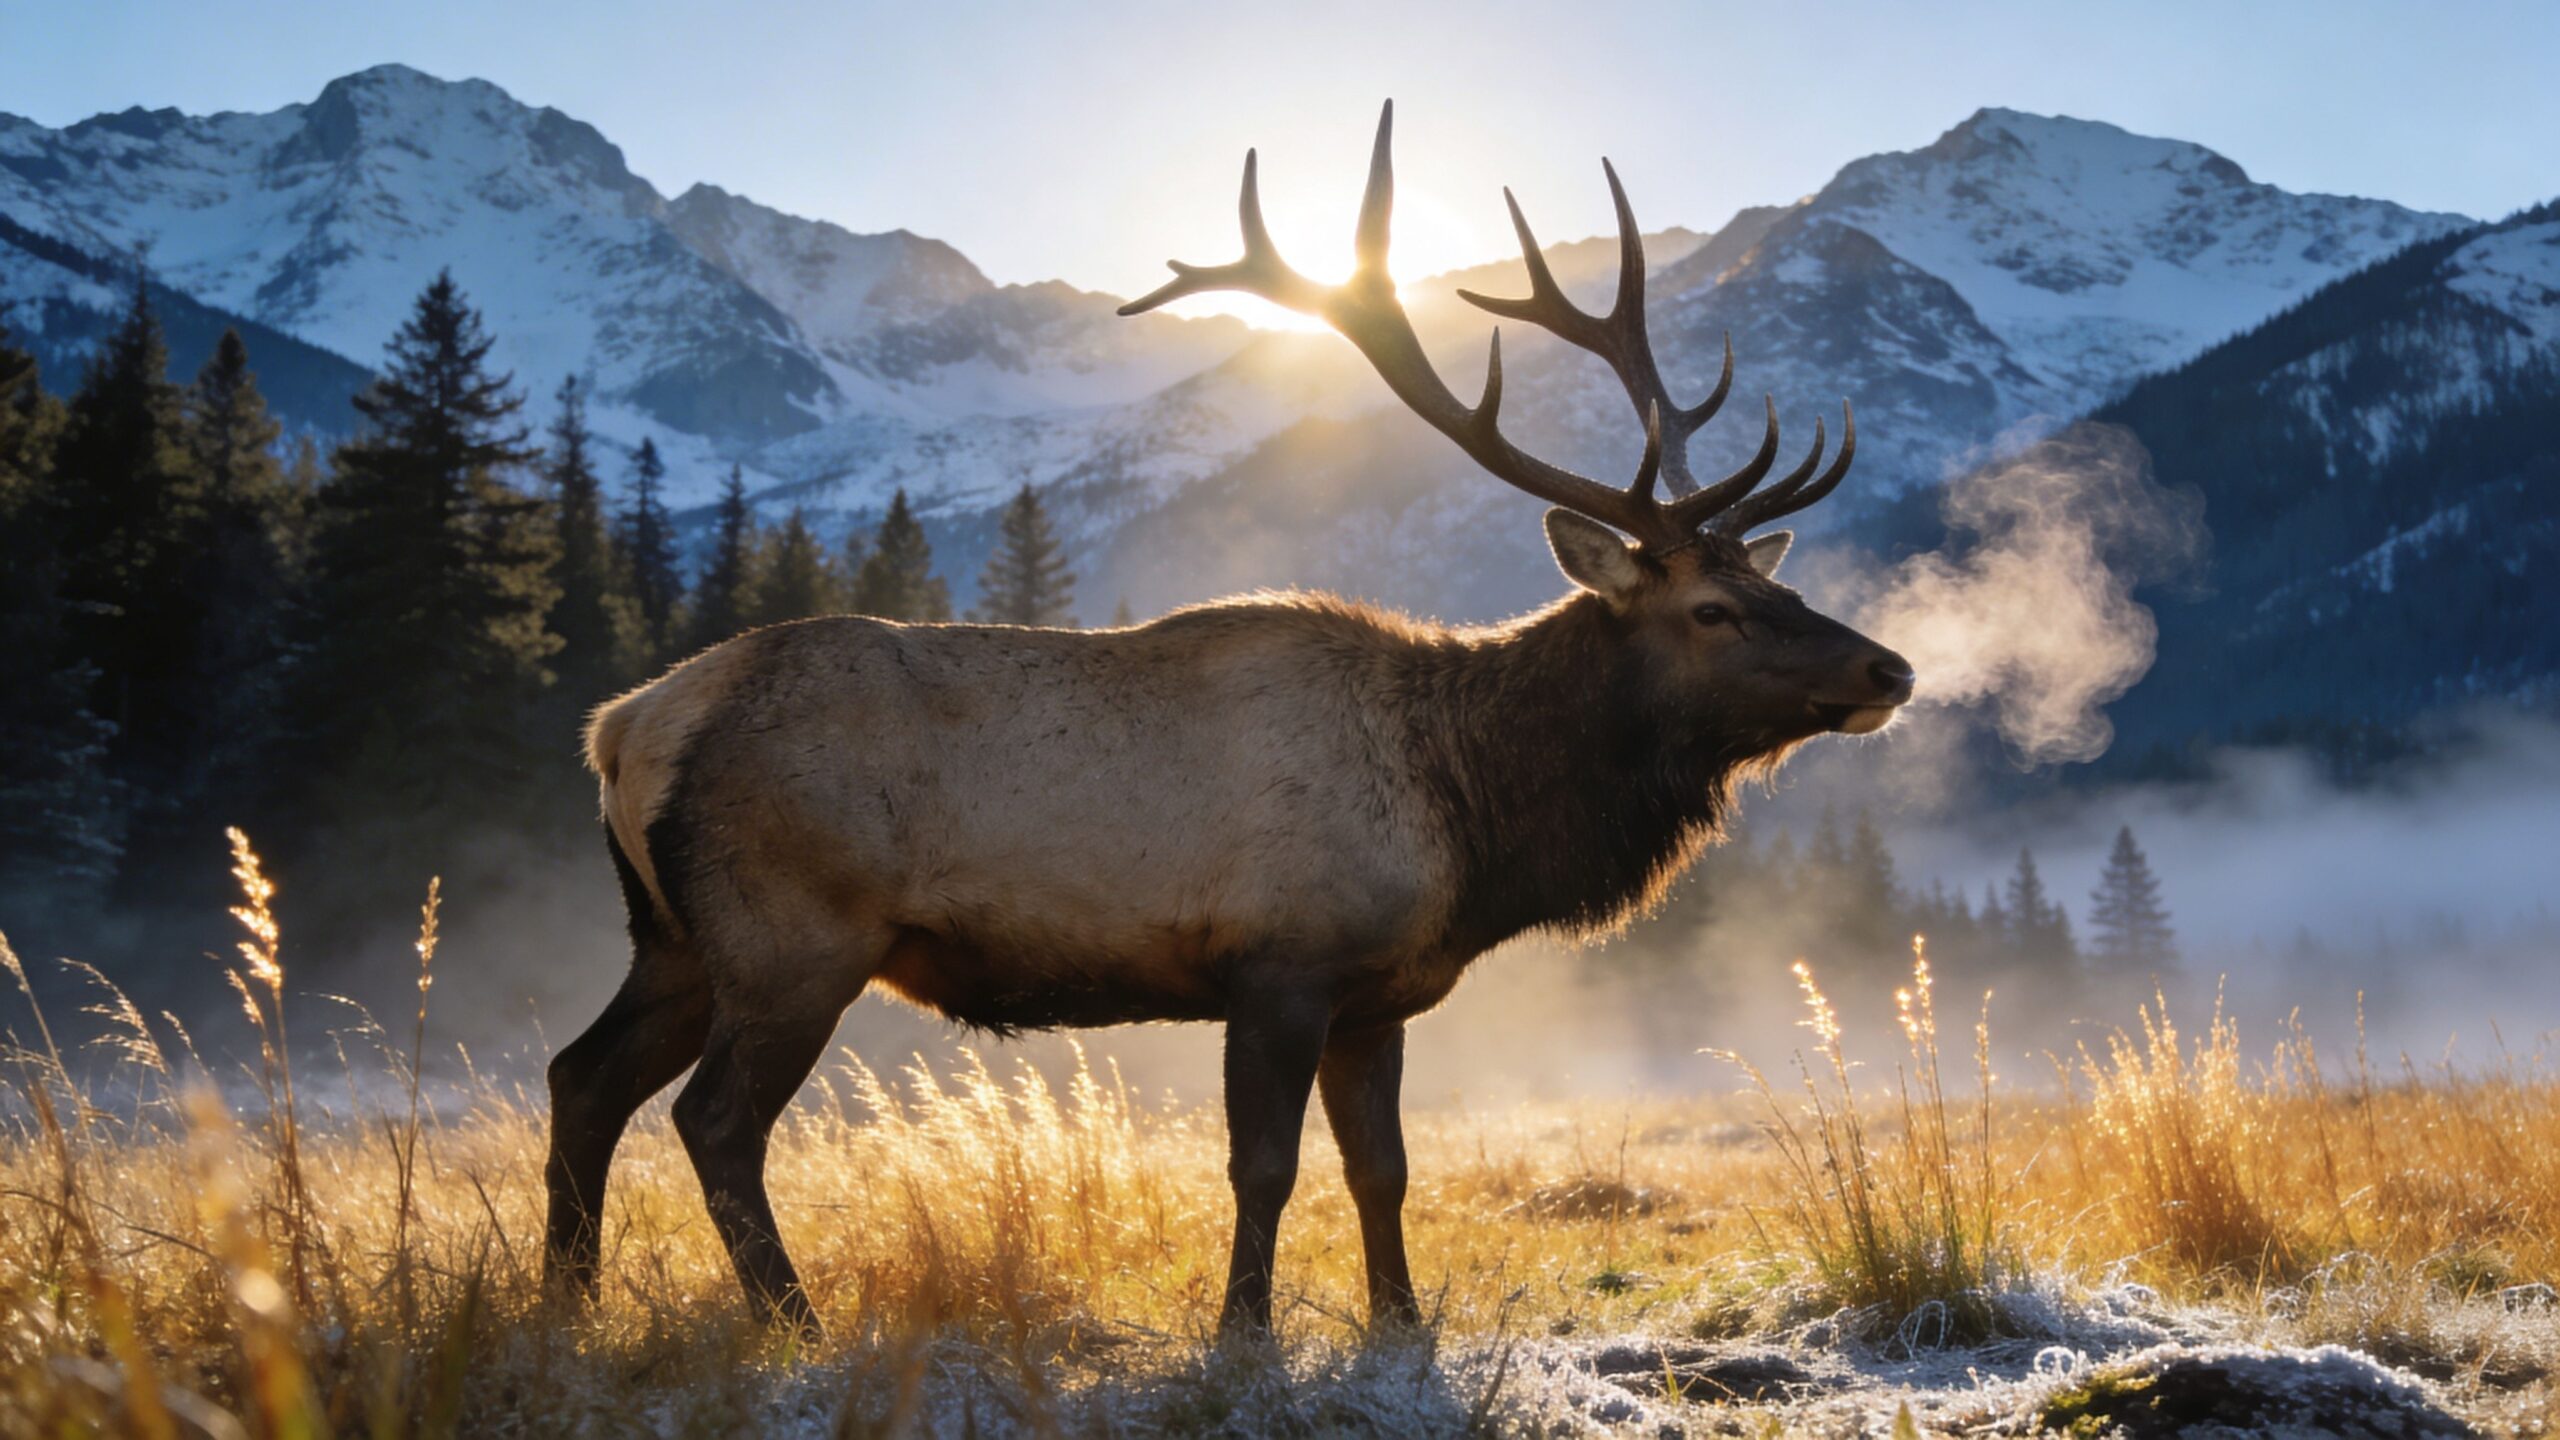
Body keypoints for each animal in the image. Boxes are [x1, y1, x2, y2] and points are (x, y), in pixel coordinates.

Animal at [542, 102, 1914, 1341]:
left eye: (1777, 586)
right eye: (1713, 609)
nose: (1892, 668)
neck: (1470, 819)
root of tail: (622, 729)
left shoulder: (1377, 994)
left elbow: (1383, 1169)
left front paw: (1398, 1325)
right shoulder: (1278, 962)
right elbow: (1266, 1167)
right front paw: (1243, 1332)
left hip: (675, 937)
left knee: (580, 1077)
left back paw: (568, 1305)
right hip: (792, 932)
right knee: (712, 1120)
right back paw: (795, 1323)